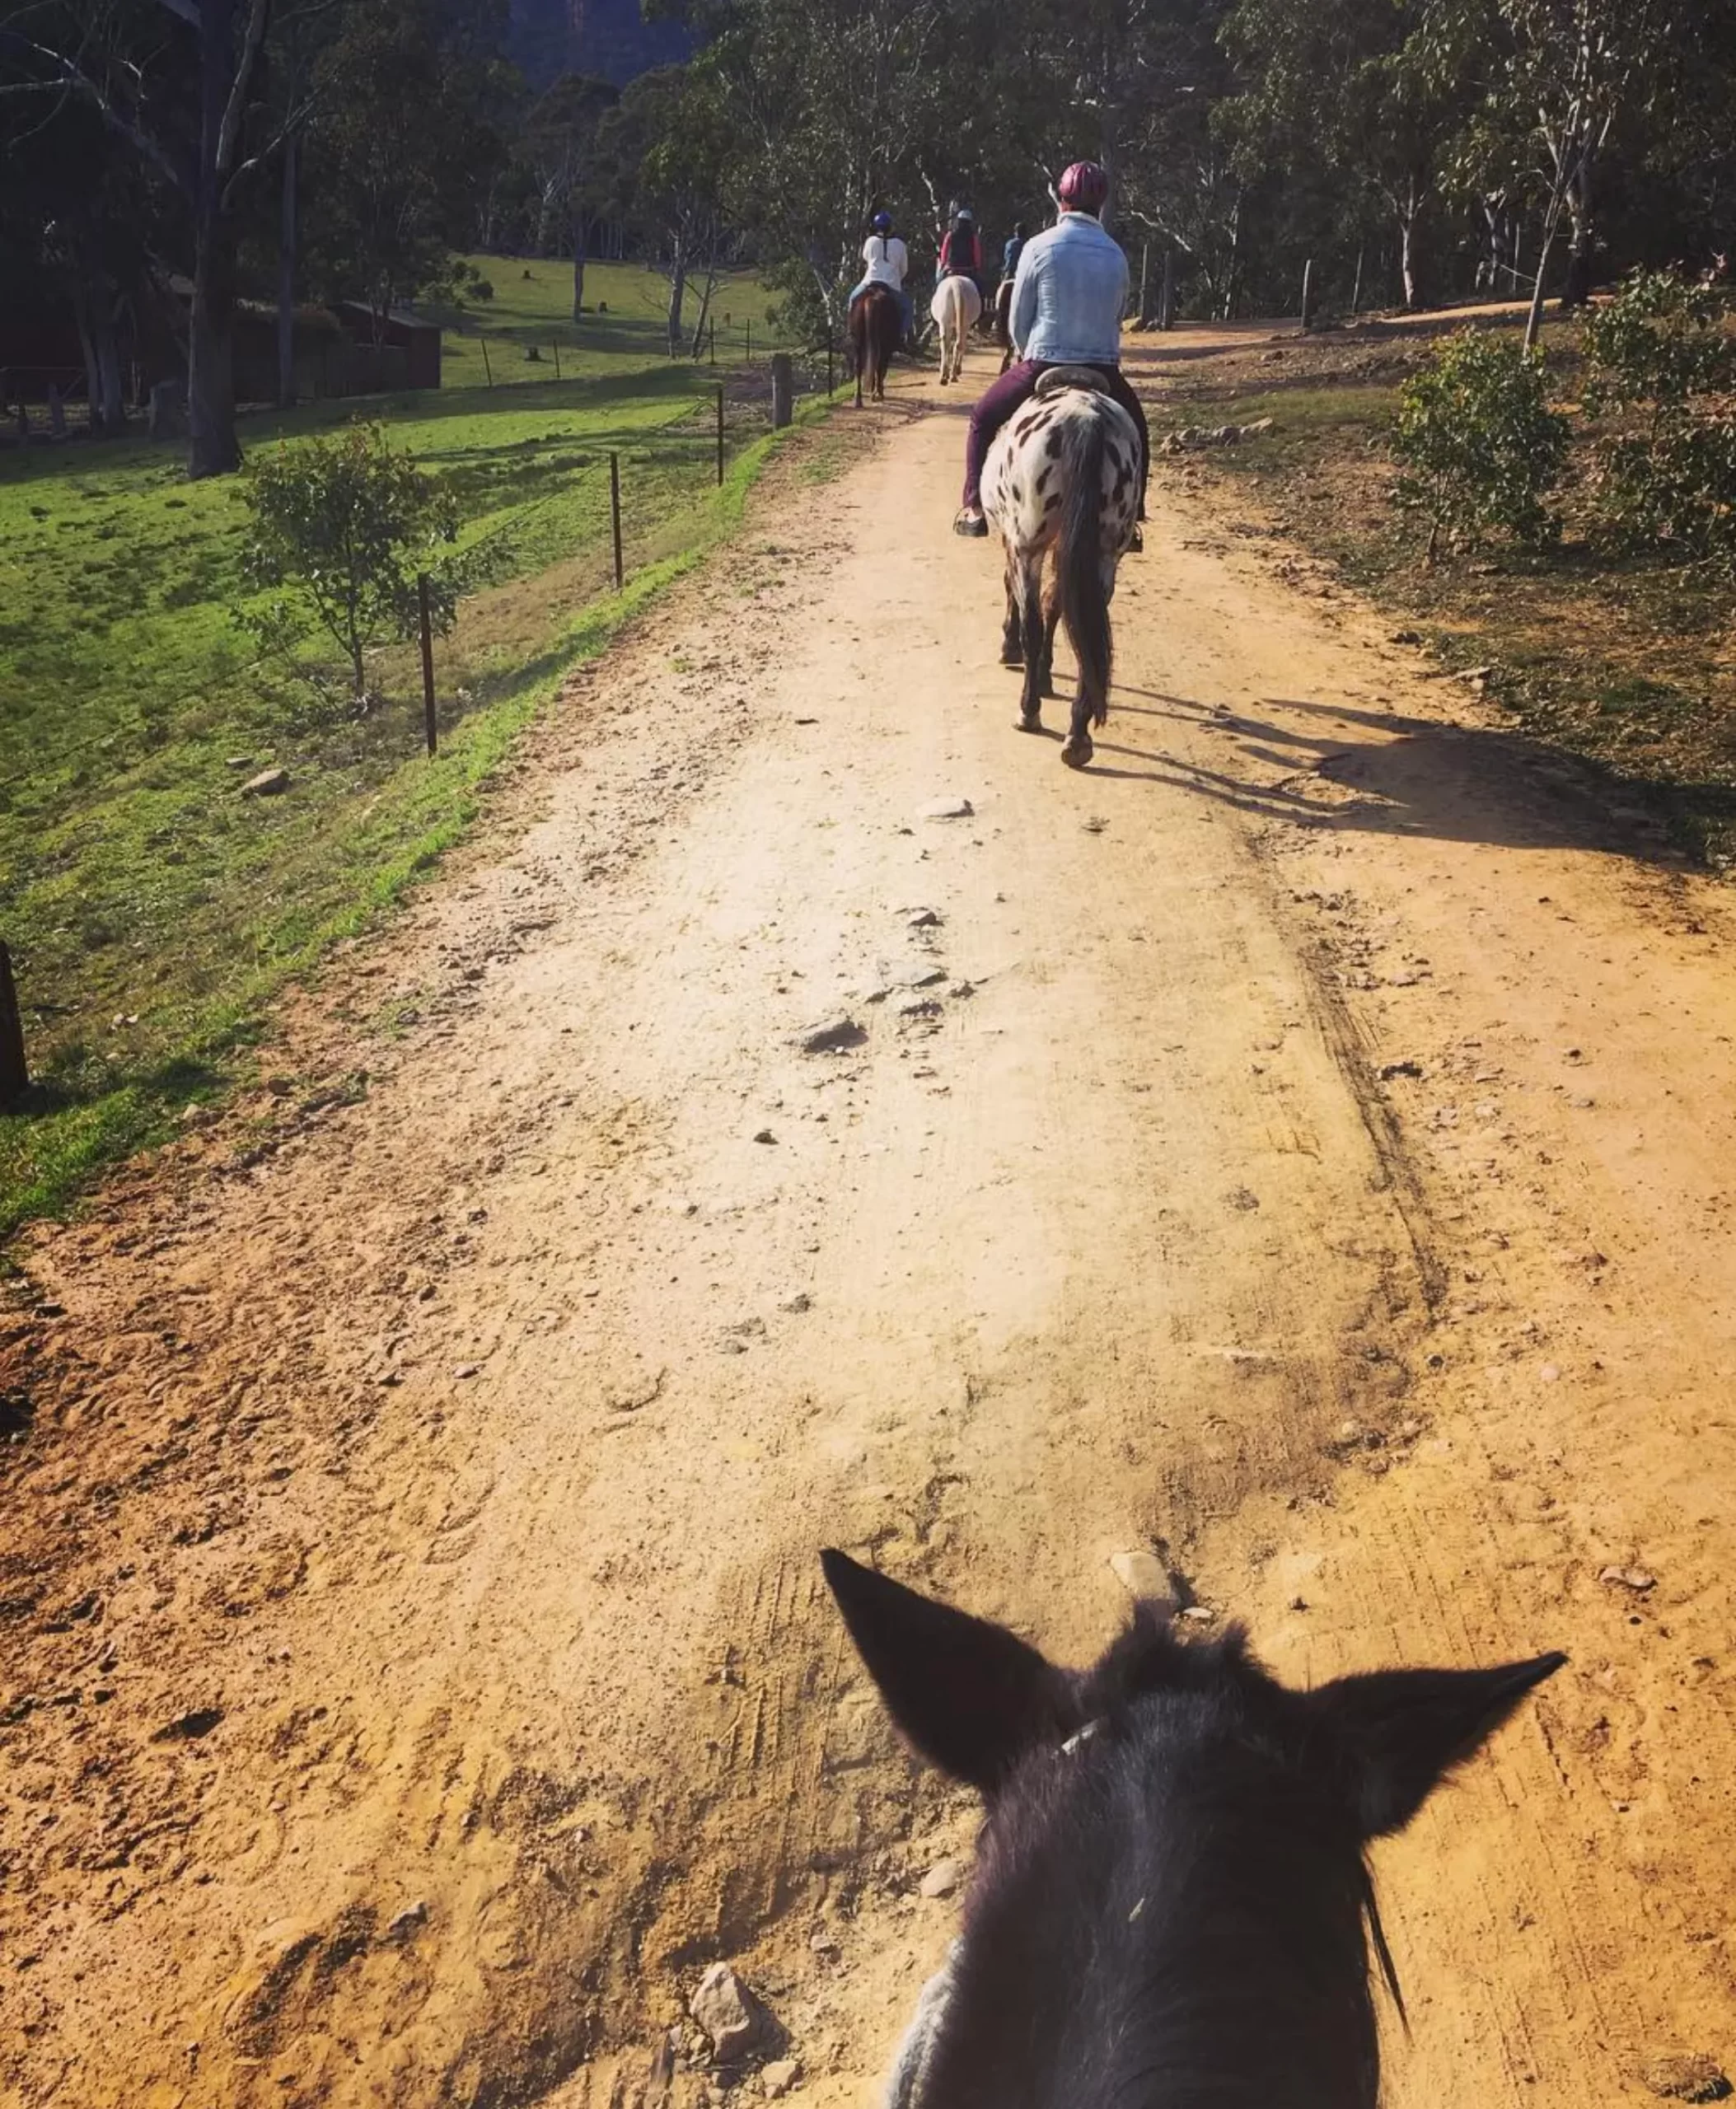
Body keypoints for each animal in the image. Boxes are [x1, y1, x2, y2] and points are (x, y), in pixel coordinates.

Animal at [848, 284, 902, 407]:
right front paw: (878, 391)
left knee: (859, 366)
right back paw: (878, 394)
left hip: (857, 343)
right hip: (883, 343)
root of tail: (872, 298)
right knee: (879, 364)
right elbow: (882, 368)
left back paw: (859, 399)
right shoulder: (887, 348)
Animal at [928, 274, 983, 386]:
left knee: (946, 343)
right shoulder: (965, 325)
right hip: (963, 323)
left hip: (945, 321)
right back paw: (953, 374)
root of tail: (956, 284)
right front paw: (956, 370)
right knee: (957, 343)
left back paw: (945, 376)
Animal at [983, 369, 1147, 767]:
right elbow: (1056, 603)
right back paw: (1078, 736)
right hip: (1105, 553)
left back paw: (1028, 711)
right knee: (1087, 629)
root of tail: (1086, 420)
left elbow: (1017, 593)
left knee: (1034, 624)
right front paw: (1045, 674)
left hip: (1029, 544)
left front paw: (1010, 647)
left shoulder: (1014, 541)